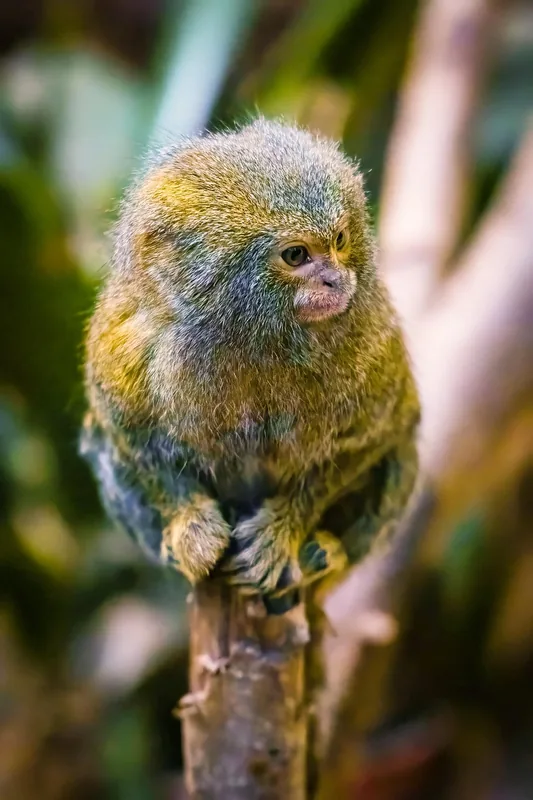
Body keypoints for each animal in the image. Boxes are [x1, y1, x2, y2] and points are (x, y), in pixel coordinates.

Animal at [81, 119, 420, 604]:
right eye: (296, 255)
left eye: (339, 241)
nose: (337, 279)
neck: (249, 335)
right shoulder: (124, 347)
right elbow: (131, 440)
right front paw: (192, 530)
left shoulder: (371, 344)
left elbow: (370, 437)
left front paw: (280, 532)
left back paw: (326, 557)